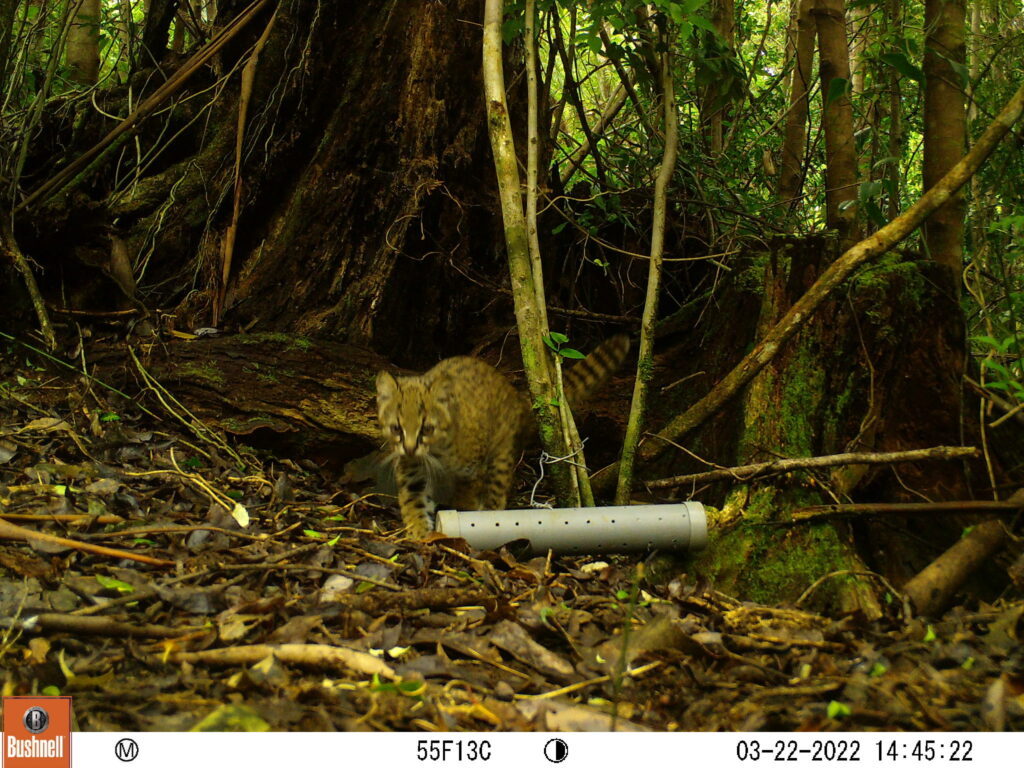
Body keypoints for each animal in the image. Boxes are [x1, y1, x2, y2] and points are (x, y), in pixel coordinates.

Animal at [376, 335, 630, 540]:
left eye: (427, 428)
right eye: (396, 428)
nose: (409, 449)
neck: (436, 453)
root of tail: (516, 396)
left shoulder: (471, 469)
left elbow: (466, 495)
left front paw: (467, 514)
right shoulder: (411, 471)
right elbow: (413, 502)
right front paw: (419, 533)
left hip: (501, 457)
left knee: (496, 493)